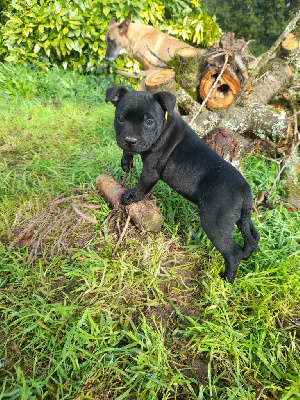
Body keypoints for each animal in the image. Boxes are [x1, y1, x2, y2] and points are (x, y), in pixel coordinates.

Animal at [106, 86, 260, 282]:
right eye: (120, 118)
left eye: (149, 122)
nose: (130, 140)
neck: (164, 127)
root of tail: (246, 191)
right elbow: (128, 153)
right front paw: (126, 161)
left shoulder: (152, 169)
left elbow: (143, 185)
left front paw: (131, 196)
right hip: (240, 219)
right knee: (252, 236)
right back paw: (246, 255)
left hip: (215, 224)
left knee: (233, 254)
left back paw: (226, 279)